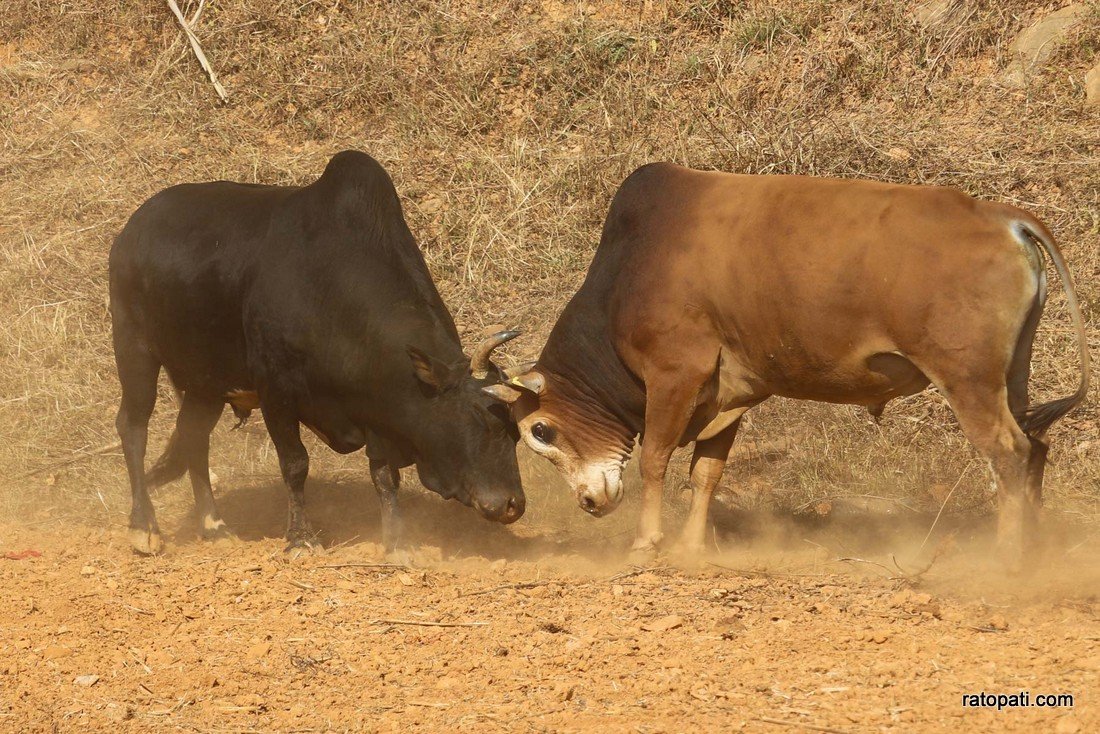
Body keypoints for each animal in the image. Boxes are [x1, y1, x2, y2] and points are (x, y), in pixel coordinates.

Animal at [490, 165, 1091, 567]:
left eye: (539, 430)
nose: (590, 503)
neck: (628, 271)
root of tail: (1003, 218)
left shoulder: (674, 374)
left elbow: (655, 460)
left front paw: (646, 543)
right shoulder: (727, 395)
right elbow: (706, 472)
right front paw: (691, 546)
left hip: (967, 380)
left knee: (1009, 453)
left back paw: (1006, 556)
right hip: (1011, 377)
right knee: (1036, 447)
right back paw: (1035, 549)